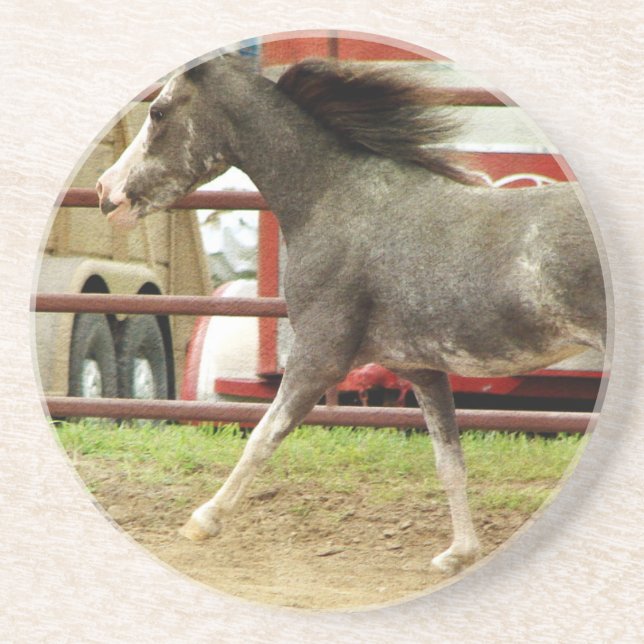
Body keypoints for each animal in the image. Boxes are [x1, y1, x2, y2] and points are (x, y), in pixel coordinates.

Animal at [96, 53, 606, 575]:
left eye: (157, 112)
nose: (105, 193)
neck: (337, 201)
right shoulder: (421, 370)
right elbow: (450, 461)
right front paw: (458, 554)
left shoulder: (320, 356)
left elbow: (263, 434)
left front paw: (203, 521)